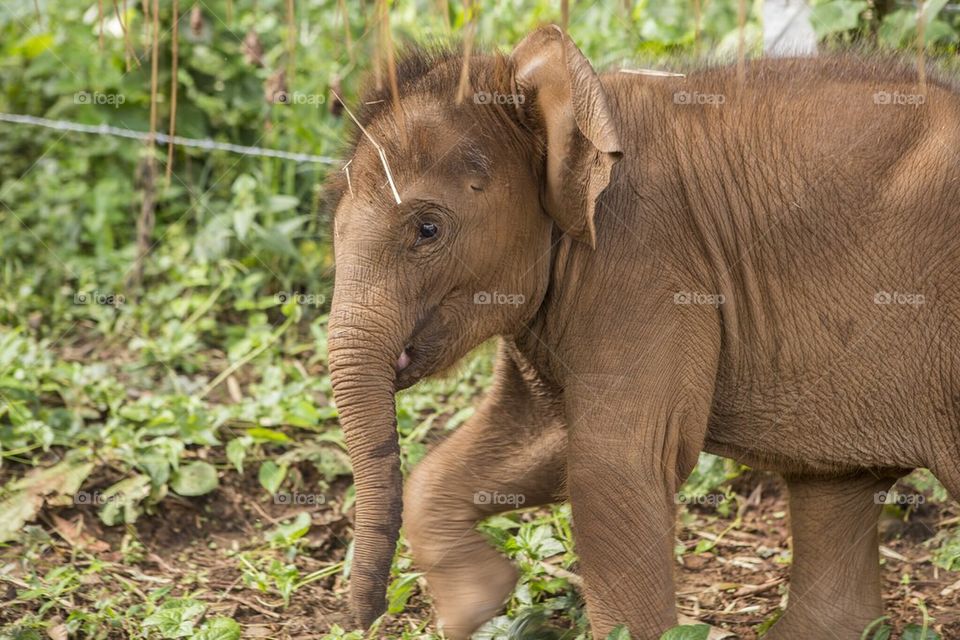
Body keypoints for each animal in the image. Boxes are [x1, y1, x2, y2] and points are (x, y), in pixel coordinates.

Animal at [326, 25, 960, 640]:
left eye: (427, 229)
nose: (365, 620)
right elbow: (540, 440)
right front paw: (480, 605)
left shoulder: (645, 265)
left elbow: (617, 464)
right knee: (834, 486)